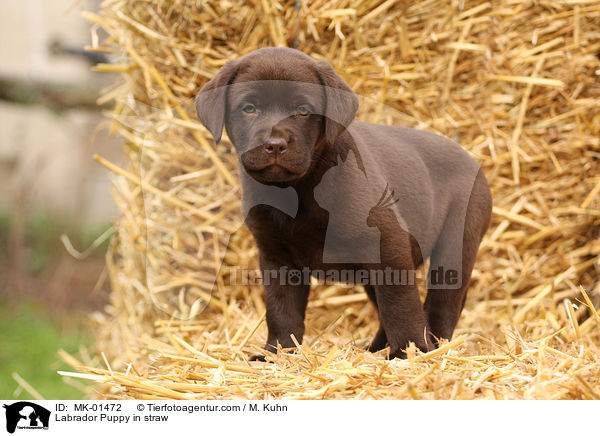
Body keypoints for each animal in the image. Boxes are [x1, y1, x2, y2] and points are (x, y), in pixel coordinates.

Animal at [195, 47, 490, 362]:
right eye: (249, 108)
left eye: (303, 110)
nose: (275, 144)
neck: (296, 190)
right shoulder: (276, 254)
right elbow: (281, 309)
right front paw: (278, 353)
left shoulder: (389, 240)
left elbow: (400, 302)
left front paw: (412, 350)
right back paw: (377, 349)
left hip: (457, 239)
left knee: (442, 302)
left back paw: (435, 347)